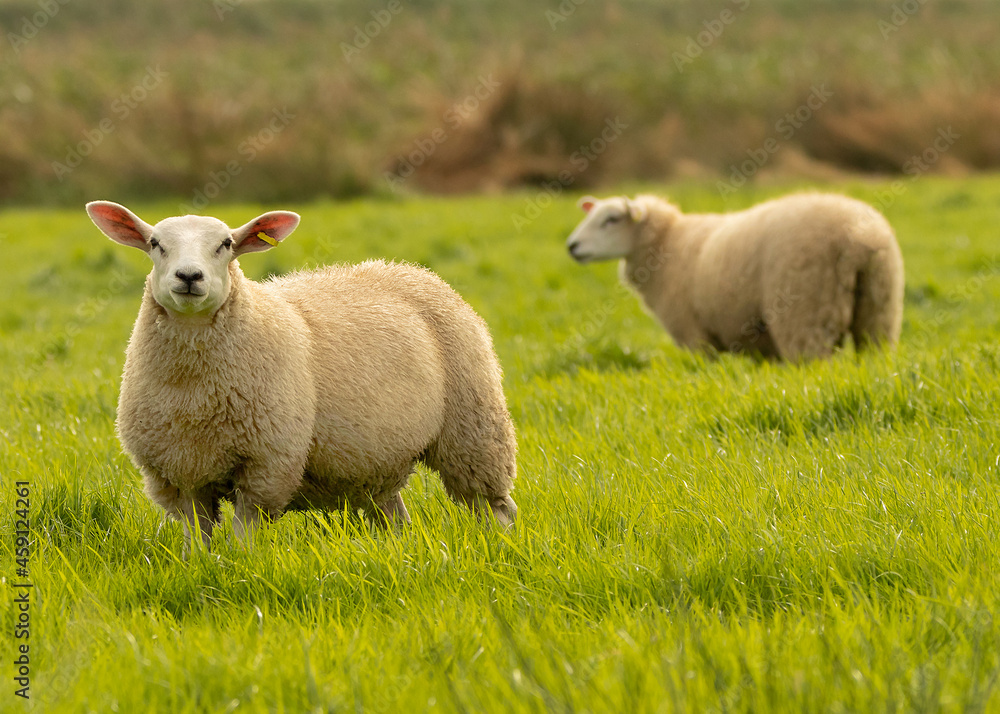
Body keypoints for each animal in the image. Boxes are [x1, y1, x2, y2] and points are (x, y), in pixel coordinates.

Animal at [85, 201, 518, 551]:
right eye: (155, 243)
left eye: (225, 244)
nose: (189, 276)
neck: (194, 392)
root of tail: (407, 270)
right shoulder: (181, 473)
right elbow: (198, 541)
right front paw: (200, 570)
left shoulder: (267, 467)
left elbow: (244, 539)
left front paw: (239, 570)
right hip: (376, 458)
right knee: (394, 518)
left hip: (474, 430)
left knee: (495, 506)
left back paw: (500, 547)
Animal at [565, 193, 904, 361]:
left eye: (611, 219)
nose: (572, 246)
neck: (666, 243)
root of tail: (859, 236)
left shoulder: (694, 337)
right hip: (879, 310)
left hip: (806, 313)